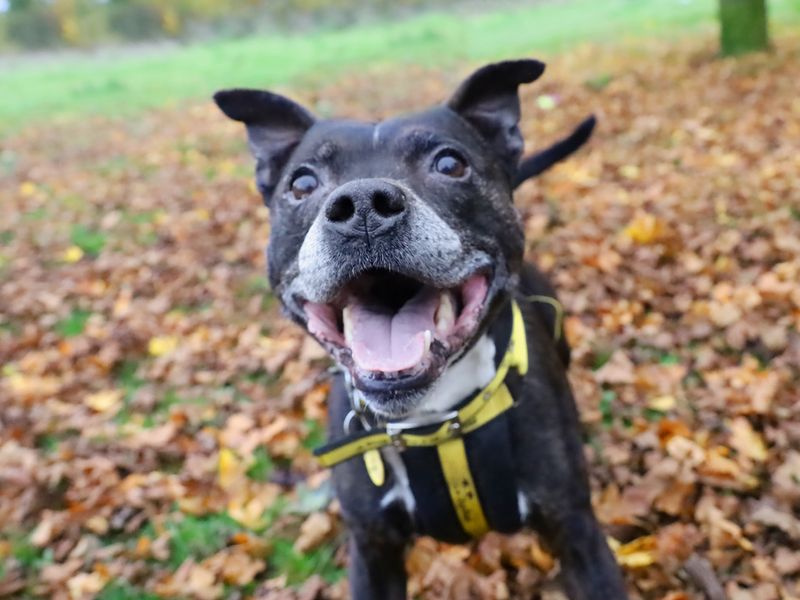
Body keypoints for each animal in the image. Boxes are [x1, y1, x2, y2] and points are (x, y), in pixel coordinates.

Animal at [216, 59, 628, 600]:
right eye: (302, 184)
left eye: (450, 164)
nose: (362, 206)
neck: (432, 419)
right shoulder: (373, 553)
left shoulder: (578, 534)